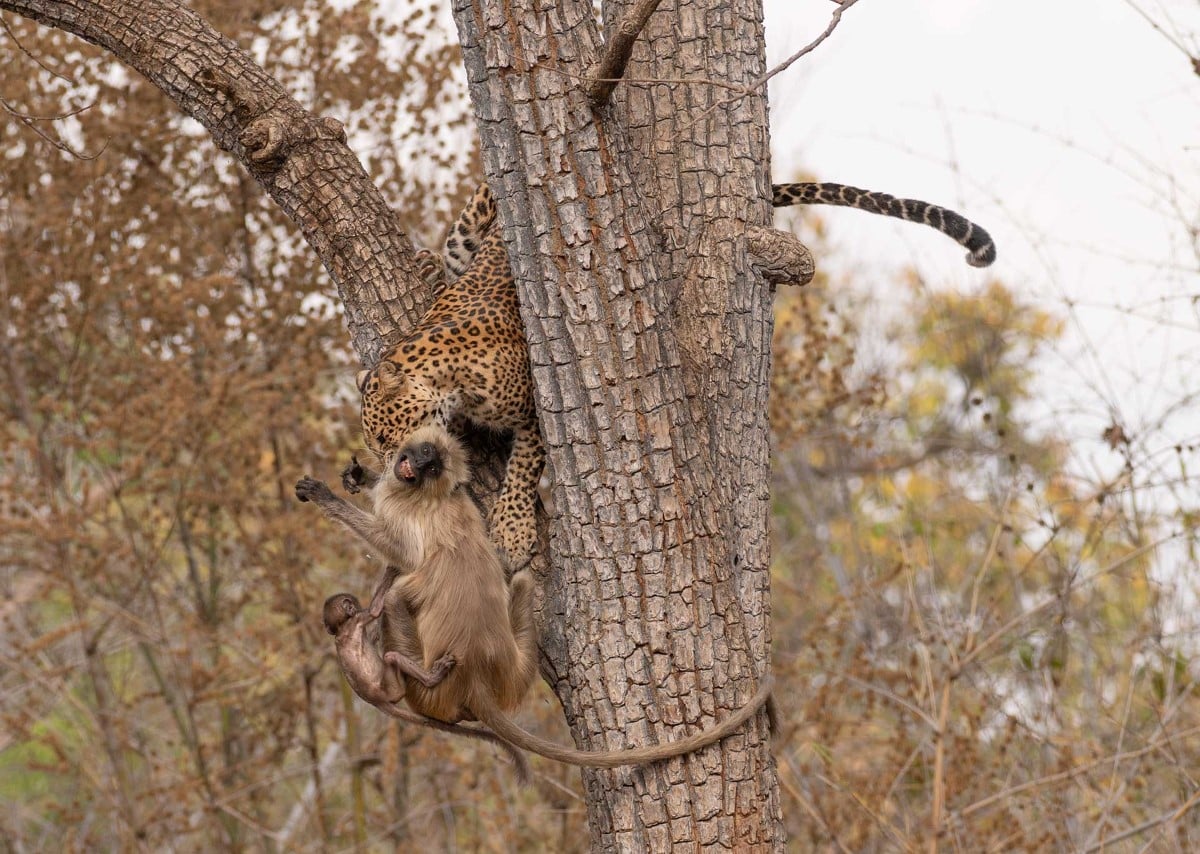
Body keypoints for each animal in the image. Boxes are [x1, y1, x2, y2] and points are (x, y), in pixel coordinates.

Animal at [295, 424, 772, 767]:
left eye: (432, 466)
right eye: (423, 455)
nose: (417, 462)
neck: (430, 494)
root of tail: (476, 680)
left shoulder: (402, 511)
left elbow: (396, 553)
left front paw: (329, 495)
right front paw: (361, 475)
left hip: (426, 687)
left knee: (397, 602)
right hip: (515, 667)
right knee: (521, 580)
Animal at [355, 178, 993, 563]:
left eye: (387, 434)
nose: (392, 463)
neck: (447, 377)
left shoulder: (540, 404)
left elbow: (522, 467)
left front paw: (513, 534)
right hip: (465, 239)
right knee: (449, 258)